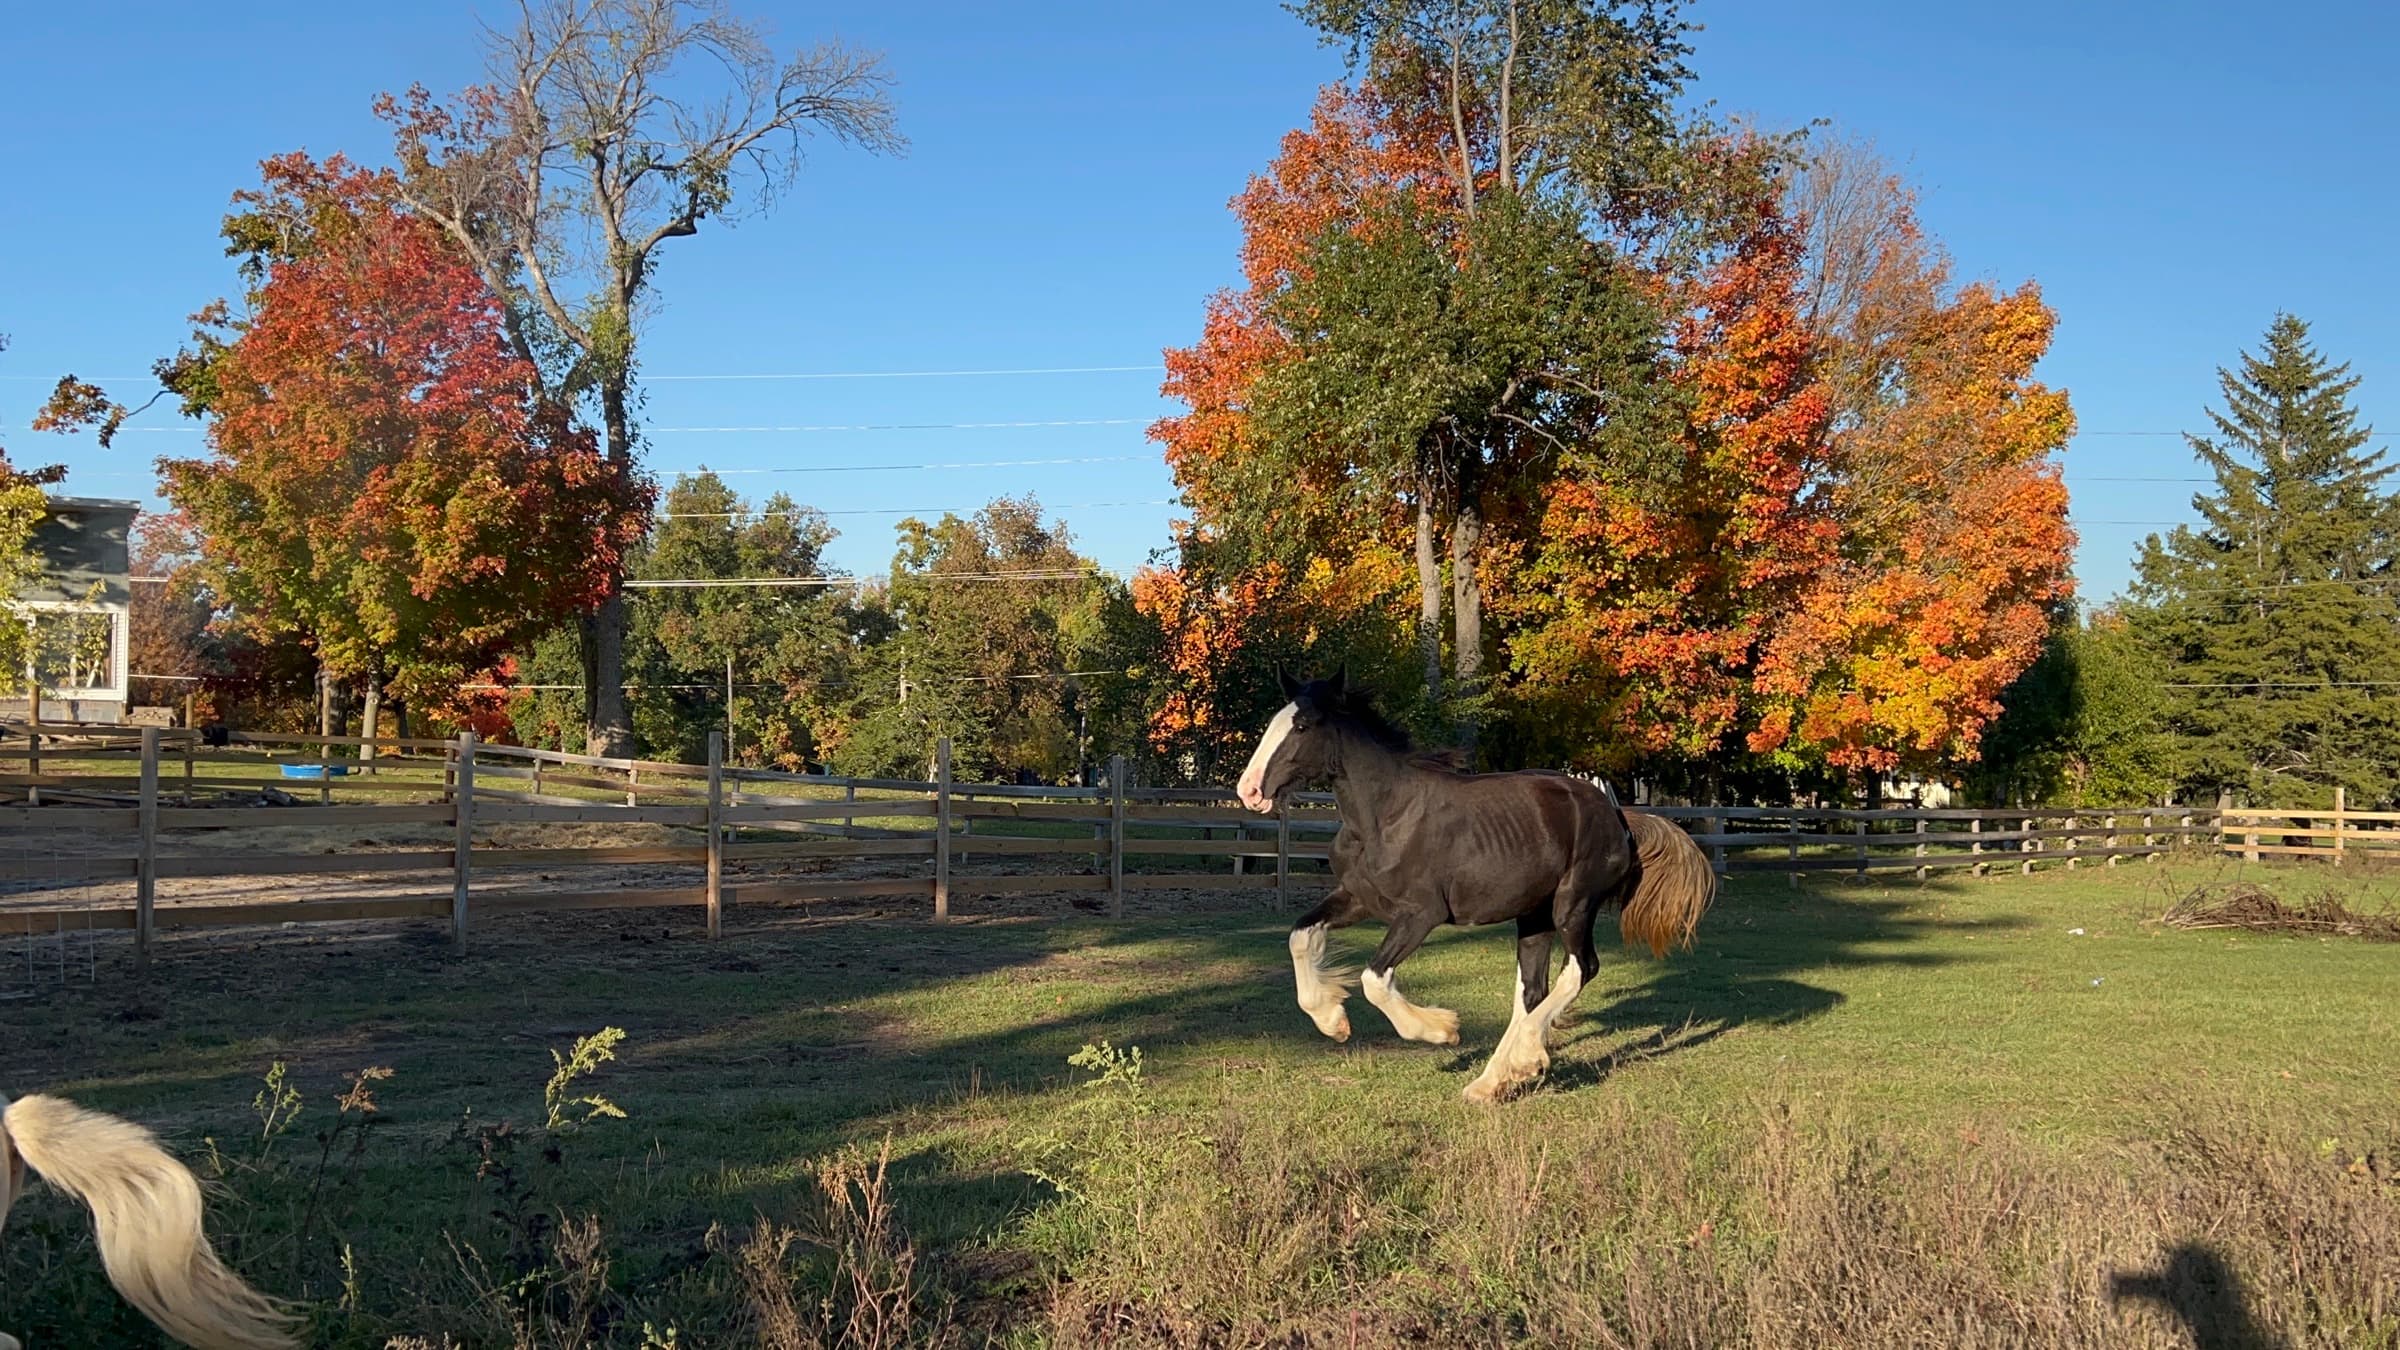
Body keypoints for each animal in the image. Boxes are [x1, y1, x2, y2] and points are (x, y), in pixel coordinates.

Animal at [1235, 671, 1716, 1102]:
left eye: (1302, 726)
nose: (1250, 791)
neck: (1387, 817)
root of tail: (1618, 816)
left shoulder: (1421, 913)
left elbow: (1374, 980)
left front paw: (1442, 1030)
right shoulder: (1358, 899)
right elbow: (1300, 937)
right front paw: (1332, 1019)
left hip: (1573, 904)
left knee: (1582, 968)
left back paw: (1524, 1059)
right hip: (1534, 915)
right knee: (1532, 989)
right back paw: (1491, 1082)